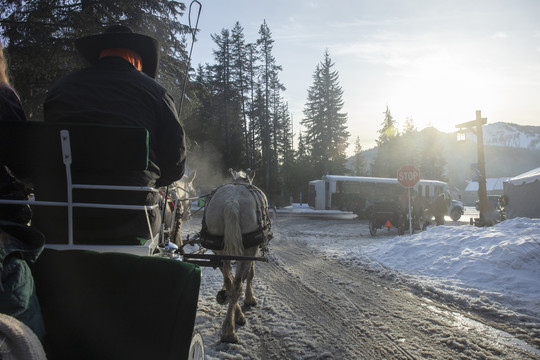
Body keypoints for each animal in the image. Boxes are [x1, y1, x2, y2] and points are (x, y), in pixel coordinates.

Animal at [201, 169, 272, 344]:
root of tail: (232, 202)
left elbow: (230, 279)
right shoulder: (252, 250)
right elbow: (250, 274)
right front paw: (250, 299)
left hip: (219, 249)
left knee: (229, 282)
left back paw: (234, 318)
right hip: (248, 249)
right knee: (237, 284)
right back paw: (230, 331)